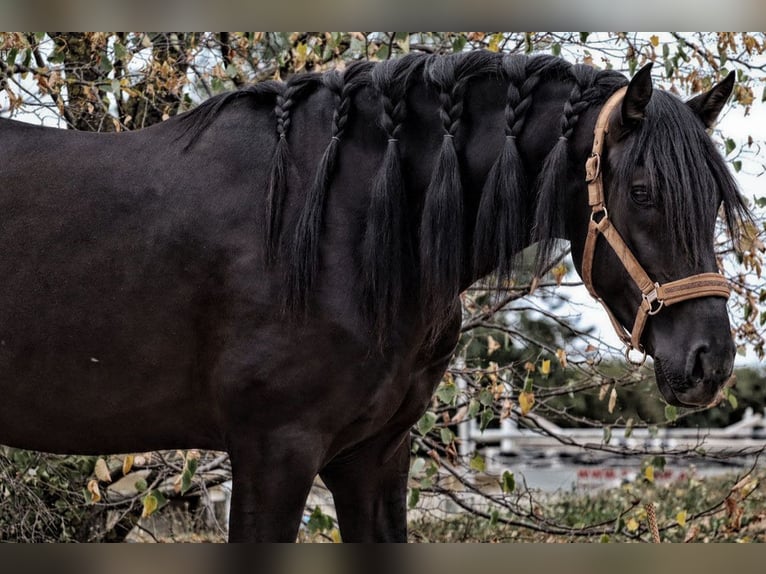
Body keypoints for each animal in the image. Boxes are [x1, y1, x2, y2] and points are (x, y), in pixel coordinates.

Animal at [0, 51, 752, 544]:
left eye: (717, 200)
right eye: (644, 192)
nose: (710, 361)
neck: (337, 225)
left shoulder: (374, 458)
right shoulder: (274, 452)